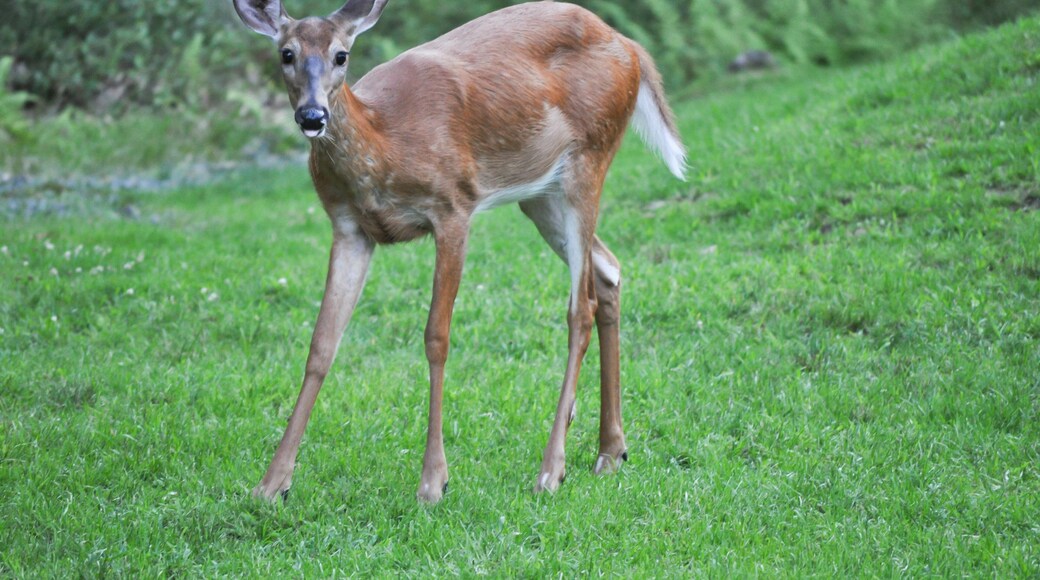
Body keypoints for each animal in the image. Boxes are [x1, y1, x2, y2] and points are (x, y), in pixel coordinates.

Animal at [232, 0, 687, 504]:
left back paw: (552, 469)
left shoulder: (453, 208)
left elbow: (437, 337)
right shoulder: (349, 227)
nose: (312, 115)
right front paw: (271, 483)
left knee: (580, 306)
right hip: (540, 195)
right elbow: (322, 344)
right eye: (286, 53)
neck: (385, 139)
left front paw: (434, 480)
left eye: (341, 55)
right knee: (608, 270)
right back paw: (611, 451)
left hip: (589, 158)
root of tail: (630, 48)